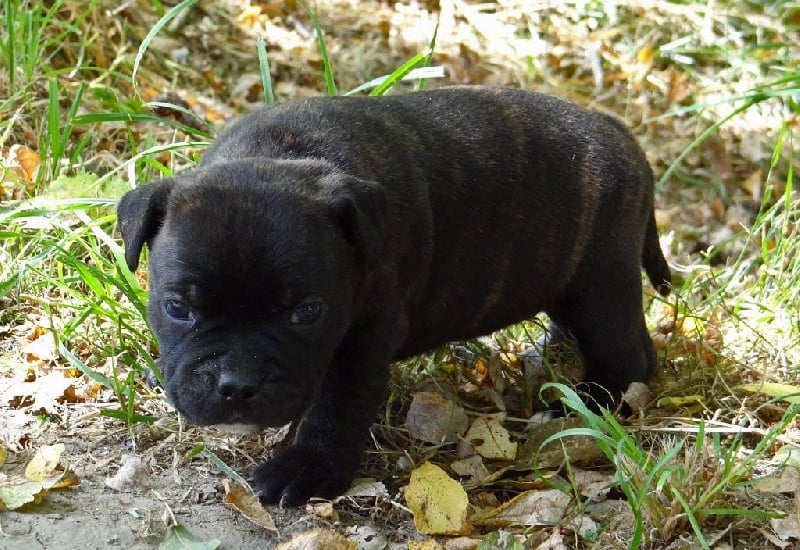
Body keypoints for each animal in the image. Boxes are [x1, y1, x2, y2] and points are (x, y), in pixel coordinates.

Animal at [117, 86, 671, 507]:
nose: (236, 385)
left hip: (601, 284)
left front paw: (308, 468)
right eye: (178, 309)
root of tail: (619, 132)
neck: (278, 154)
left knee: (627, 355)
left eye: (306, 313)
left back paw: (585, 405)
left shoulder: (361, 341)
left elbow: (335, 406)